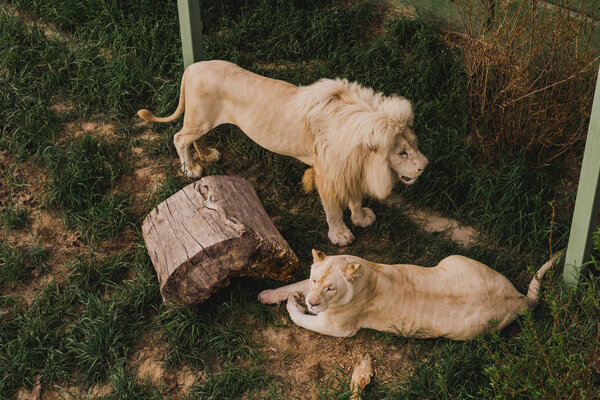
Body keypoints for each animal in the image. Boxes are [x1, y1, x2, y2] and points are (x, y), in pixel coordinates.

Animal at [137, 60, 426, 245]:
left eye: (414, 143)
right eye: (401, 153)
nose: (425, 166)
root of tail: (192, 67)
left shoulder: (347, 166)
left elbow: (354, 198)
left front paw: (361, 218)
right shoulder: (327, 172)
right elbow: (333, 208)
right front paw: (340, 236)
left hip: (204, 120)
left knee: (194, 138)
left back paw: (207, 154)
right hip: (199, 118)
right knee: (179, 138)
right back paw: (191, 169)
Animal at [258, 250, 556, 340]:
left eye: (331, 288)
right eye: (316, 279)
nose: (312, 302)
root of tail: (519, 298)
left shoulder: (339, 328)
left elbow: (300, 319)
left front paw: (293, 304)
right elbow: (293, 284)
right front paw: (268, 294)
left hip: (466, 334)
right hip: (455, 258)